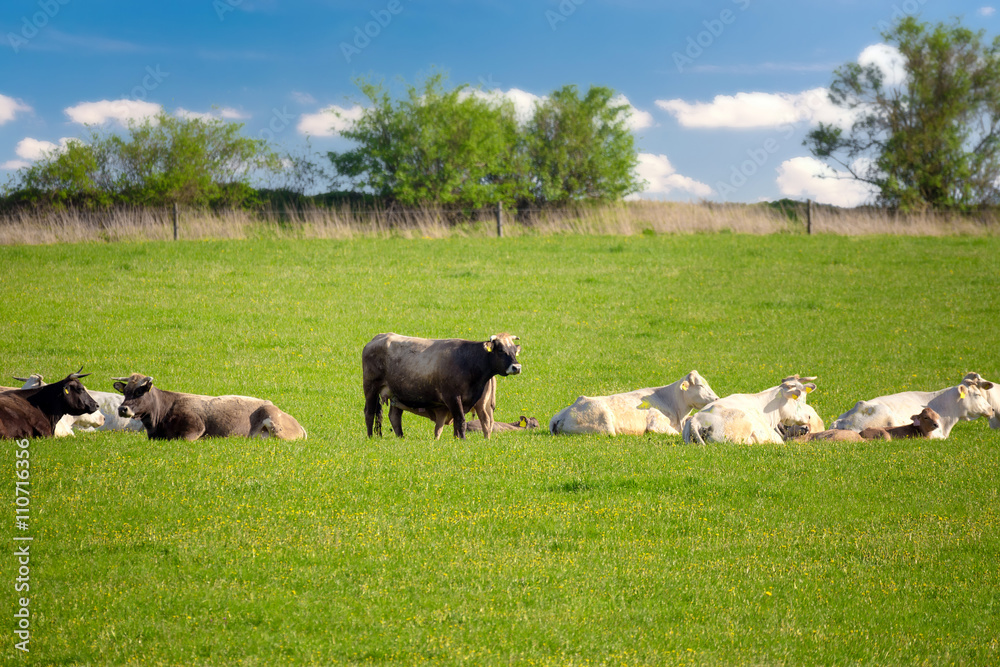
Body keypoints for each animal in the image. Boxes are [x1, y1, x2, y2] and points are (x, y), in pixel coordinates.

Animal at [362, 332, 522, 439]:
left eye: (514, 350)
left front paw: (457, 439)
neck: (469, 360)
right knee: (369, 412)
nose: (517, 367)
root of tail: (379, 337)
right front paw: (462, 440)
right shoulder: (452, 397)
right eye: (501, 350)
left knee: (394, 416)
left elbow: (458, 422)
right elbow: (461, 421)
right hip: (370, 387)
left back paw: (400, 437)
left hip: (396, 392)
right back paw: (370, 437)